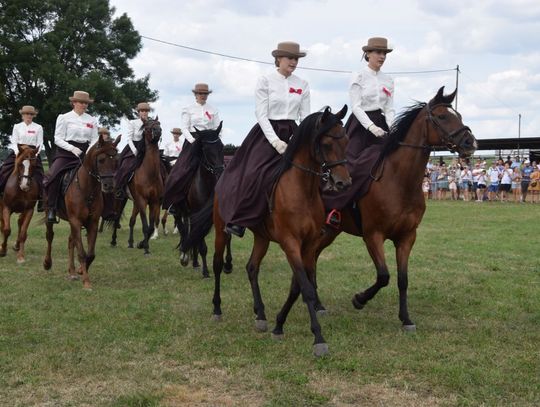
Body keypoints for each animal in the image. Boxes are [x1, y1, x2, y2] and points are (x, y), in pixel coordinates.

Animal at [43, 135, 119, 290]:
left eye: (116, 160)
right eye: (101, 160)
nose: (109, 186)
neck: (86, 187)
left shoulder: (92, 223)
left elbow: (90, 254)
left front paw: (80, 271)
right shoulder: (76, 221)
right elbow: (82, 253)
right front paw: (86, 282)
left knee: (71, 241)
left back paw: (72, 272)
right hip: (51, 215)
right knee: (50, 236)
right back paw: (47, 263)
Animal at [175, 122, 230, 278]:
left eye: (222, 146)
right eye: (205, 149)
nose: (220, 172)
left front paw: (227, 265)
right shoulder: (196, 213)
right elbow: (202, 245)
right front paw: (206, 271)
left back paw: (194, 261)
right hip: (180, 212)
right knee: (184, 230)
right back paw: (185, 257)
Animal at [182, 106, 350, 356]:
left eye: (346, 140)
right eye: (327, 143)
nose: (343, 183)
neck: (303, 191)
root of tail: (221, 180)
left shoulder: (309, 245)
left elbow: (298, 286)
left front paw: (279, 324)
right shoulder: (290, 243)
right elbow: (306, 288)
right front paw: (318, 338)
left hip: (262, 237)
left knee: (252, 268)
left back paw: (260, 314)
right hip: (222, 231)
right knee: (217, 264)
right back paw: (217, 309)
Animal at [316, 86, 476, 332]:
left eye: (457, 115)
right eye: (442, 117)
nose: (470, 143)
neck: (399, 181)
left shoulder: (406, 237)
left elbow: (402, 279)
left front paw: (406, 319)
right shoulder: (373, 236)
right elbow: (384, 276)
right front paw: (359, 299)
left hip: (331, 231)